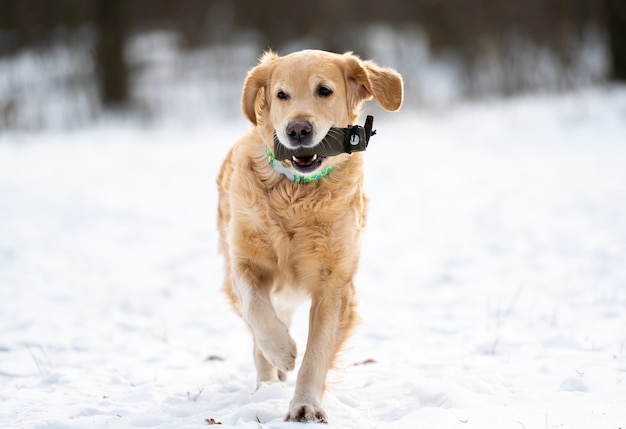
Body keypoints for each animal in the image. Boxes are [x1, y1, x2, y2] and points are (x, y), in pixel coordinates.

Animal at [217, 50, 402, 422]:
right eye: (281, 95)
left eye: (324, 91)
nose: (297, 129)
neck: (296, 193)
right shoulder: (243, 262)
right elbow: (257, 309)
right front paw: (282, 351)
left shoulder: (335, 283)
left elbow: (317, 352)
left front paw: (305, 404)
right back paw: (266, 382)